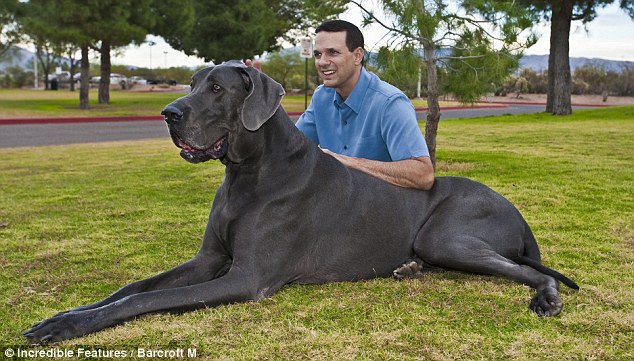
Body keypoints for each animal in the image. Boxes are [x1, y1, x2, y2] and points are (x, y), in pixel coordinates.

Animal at [25, 60, 576, 342]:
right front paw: (65, 315)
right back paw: (408, 269)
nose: (168, 113)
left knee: (531, 271)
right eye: (191, 83)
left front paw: (71, 326)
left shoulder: (246, 278)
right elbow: (132, 287)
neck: (247, 174)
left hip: (445, 235)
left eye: (217, 88)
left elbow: (145, 300)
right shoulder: (208, 259)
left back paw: (546, 297)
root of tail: (518, 213)